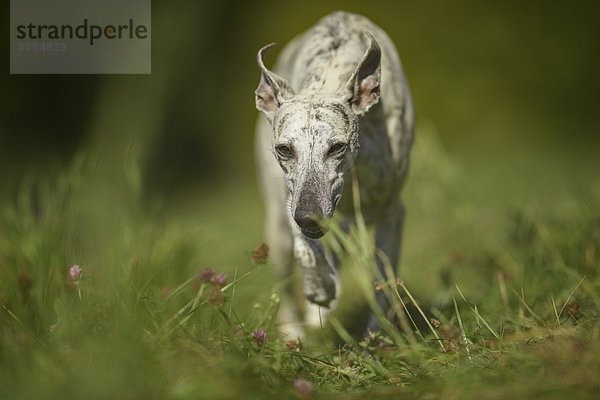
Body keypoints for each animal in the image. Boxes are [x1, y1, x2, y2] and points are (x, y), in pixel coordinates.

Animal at [255, 10, 414, 338]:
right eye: (284, 149)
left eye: (337, 147)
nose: (308, 217)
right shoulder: (292, 197)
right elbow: (305, 247)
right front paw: (319, 286)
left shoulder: (392, 210)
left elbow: (383, 275)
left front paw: (379, 335)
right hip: (277, 229)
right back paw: (295, 329)